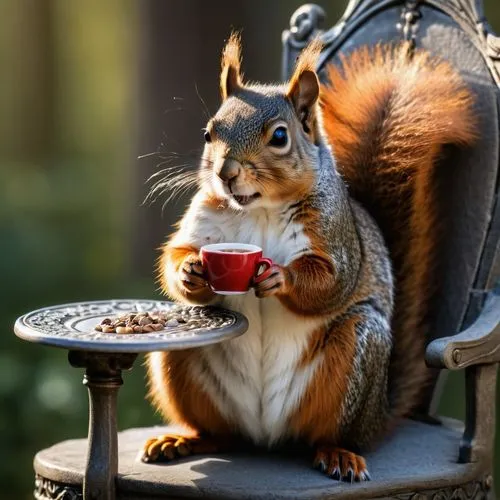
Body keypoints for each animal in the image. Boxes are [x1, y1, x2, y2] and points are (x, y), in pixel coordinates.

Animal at [139, 33, 474, 482]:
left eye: (280, 137)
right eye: (208, 133)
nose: (226, 173)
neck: (259, 208)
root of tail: (263, 433)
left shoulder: (334, 236)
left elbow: (331, 282)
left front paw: (280, 277)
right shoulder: (204, 220)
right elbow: (176, 254)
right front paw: (191, 271)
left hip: (357, 355)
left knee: (331, 432)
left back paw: (339, 454)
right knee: (218, 433)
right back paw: (183, 439)